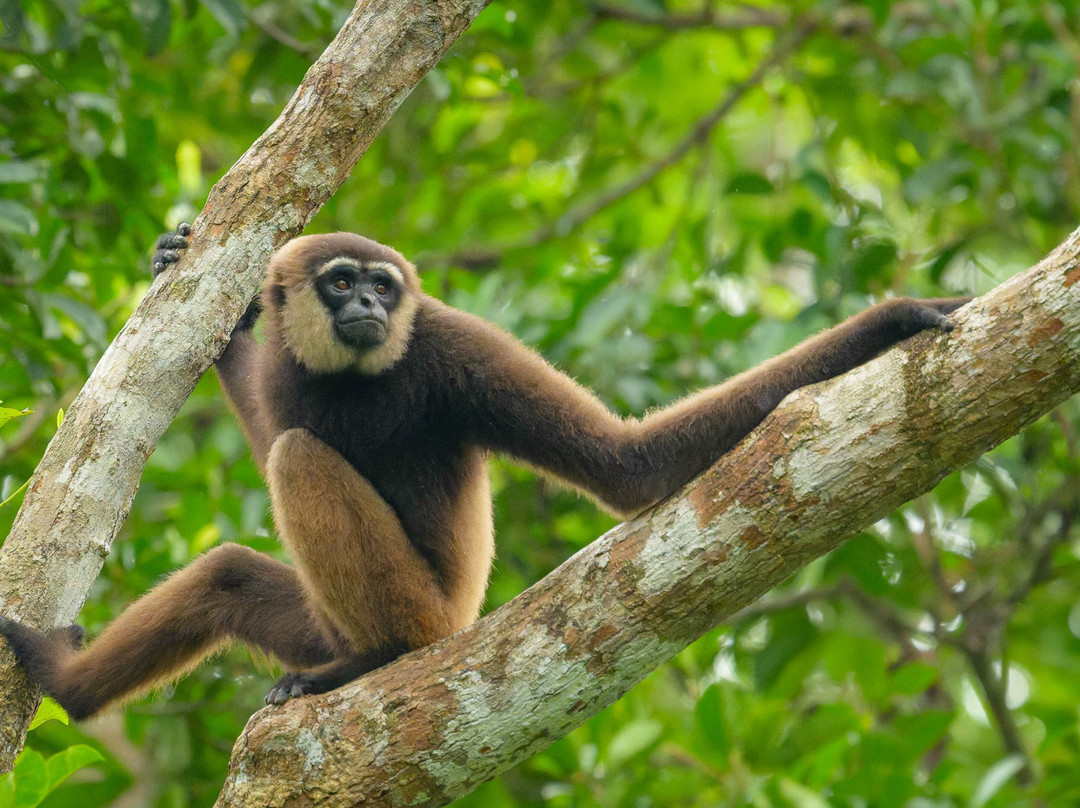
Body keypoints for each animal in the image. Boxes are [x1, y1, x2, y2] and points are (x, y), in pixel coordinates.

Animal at [0, 225, 970, 720]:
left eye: (383, 288)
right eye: (341, 281)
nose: (364, 303)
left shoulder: (451, 343)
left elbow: (628, 465)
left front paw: (893, 319)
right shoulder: (292, 372)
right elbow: (271, 410)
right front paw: (219, 309)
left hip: (426, 613)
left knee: (298, 458)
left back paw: (372, 662)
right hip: (315, 620)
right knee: (232, 569)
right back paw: (69, 685)